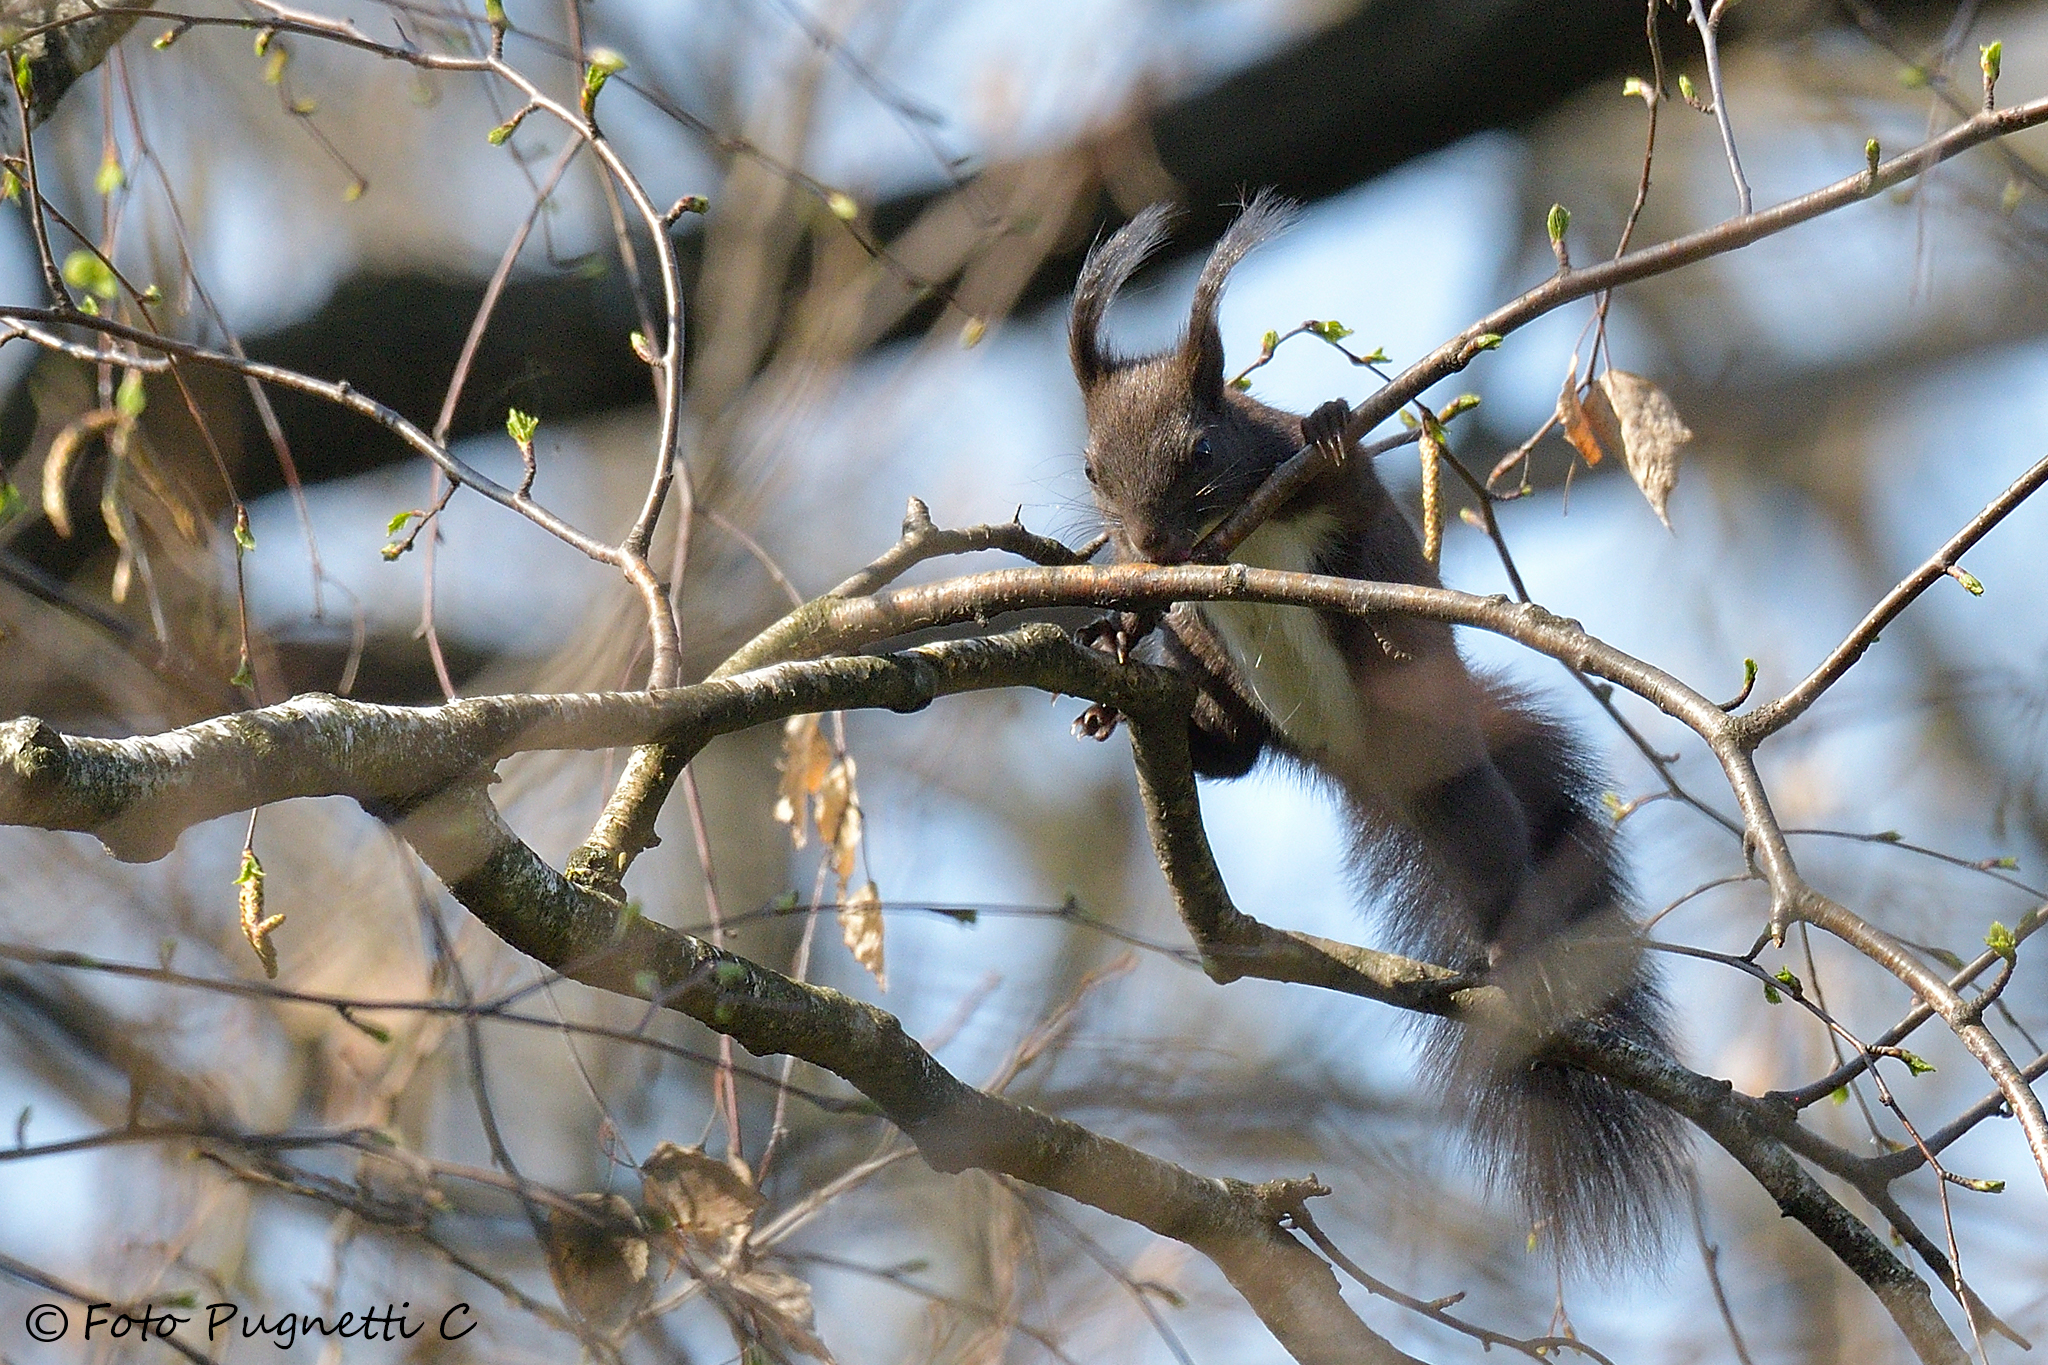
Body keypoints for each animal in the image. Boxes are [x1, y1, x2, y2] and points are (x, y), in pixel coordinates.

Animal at [1069, 192, 1688, 1263]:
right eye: (1095, 469)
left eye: (1204, 451)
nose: (1150, 542)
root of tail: (1355, 763)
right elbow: (1150, 605)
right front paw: (1115, 623)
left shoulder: (1326, 490)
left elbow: (1354, 496)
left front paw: (1326, 428)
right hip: (1235, 695)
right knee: (1235, 750)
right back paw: (1174, 721)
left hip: (1449, 778)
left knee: (1493, 846)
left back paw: (1506, 949)